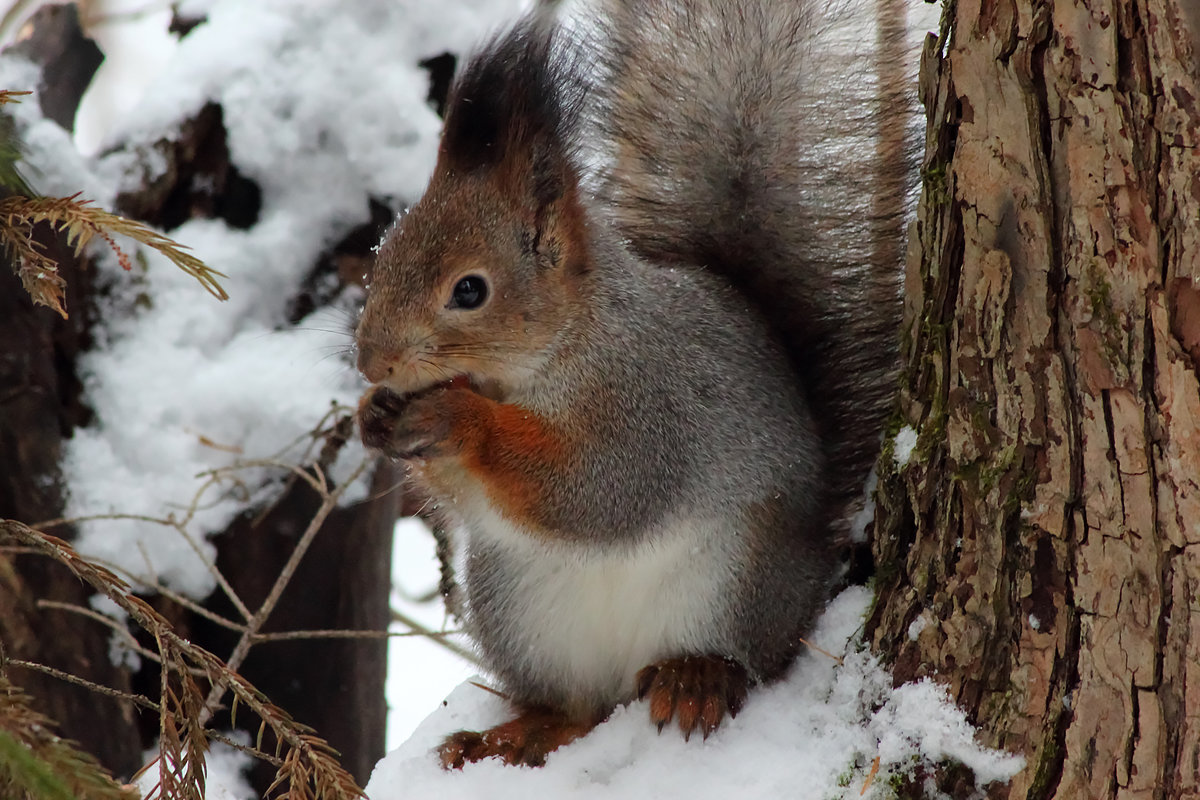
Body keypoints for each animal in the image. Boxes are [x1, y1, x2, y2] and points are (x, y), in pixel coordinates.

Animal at [352, 0, 907, 767]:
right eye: (383, 258)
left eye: (469, 291)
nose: (371, 362)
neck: (553, 354)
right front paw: (374, 416)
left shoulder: (650, 400)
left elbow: (599, 488)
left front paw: (457, 420)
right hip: (521, 609)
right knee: (579, 709)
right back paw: (518, 733)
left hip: (732, 580)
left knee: (734, 660)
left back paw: (697, 678)